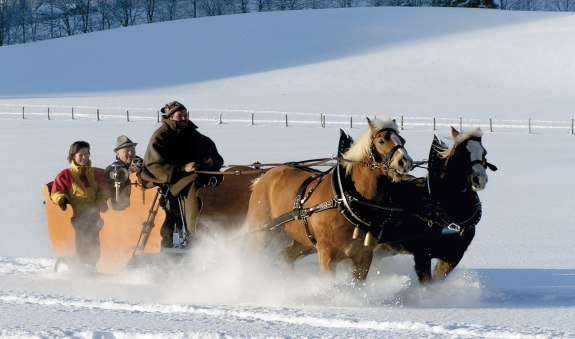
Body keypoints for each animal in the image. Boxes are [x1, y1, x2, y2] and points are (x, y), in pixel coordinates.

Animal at [248, 118, 414, 282]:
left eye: (403, 141)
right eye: (381, 141)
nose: (405, 162)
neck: (344, 200)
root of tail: (263, 177)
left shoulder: (364, 257)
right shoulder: (327, 256)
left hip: (301, 239)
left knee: (286, 257)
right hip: (263, 233)